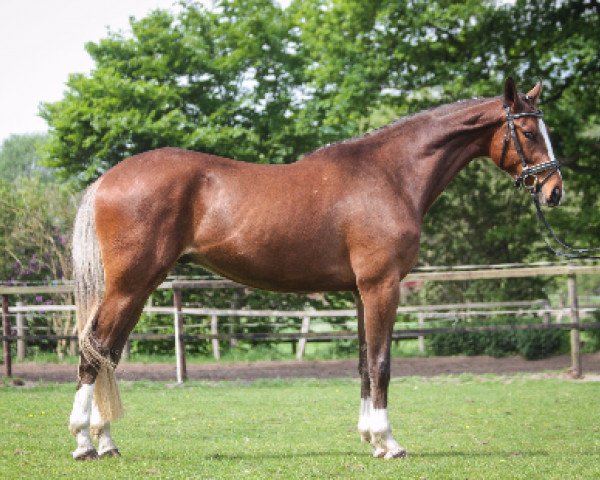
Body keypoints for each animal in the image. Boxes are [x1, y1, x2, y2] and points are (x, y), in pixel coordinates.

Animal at [69, 79, 564, 462]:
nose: (555, 191)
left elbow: (364, 362)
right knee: (95, 351)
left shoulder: (361, 292)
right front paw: (390, 442)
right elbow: (382, 363)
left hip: (140, 288)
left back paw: (106, 441)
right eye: (526, 130)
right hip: (130, 286)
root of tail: (106, 180)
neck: (390, 175)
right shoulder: (382, 287)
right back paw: (84, 443)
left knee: (107, 354)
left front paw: (371, 439)